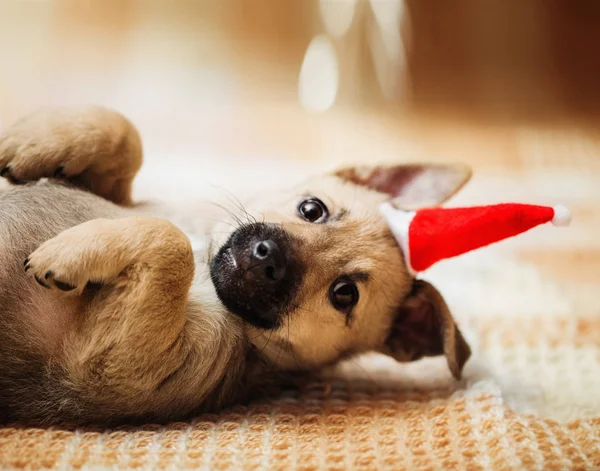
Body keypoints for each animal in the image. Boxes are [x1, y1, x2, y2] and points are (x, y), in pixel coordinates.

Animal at [0, 108, 474, 428]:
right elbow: (124, 133)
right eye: (312, 209)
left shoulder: (112, 370)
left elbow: (169, 242)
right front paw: (29, 141)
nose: (268, 256)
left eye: (345, 294)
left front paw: (73, 250)